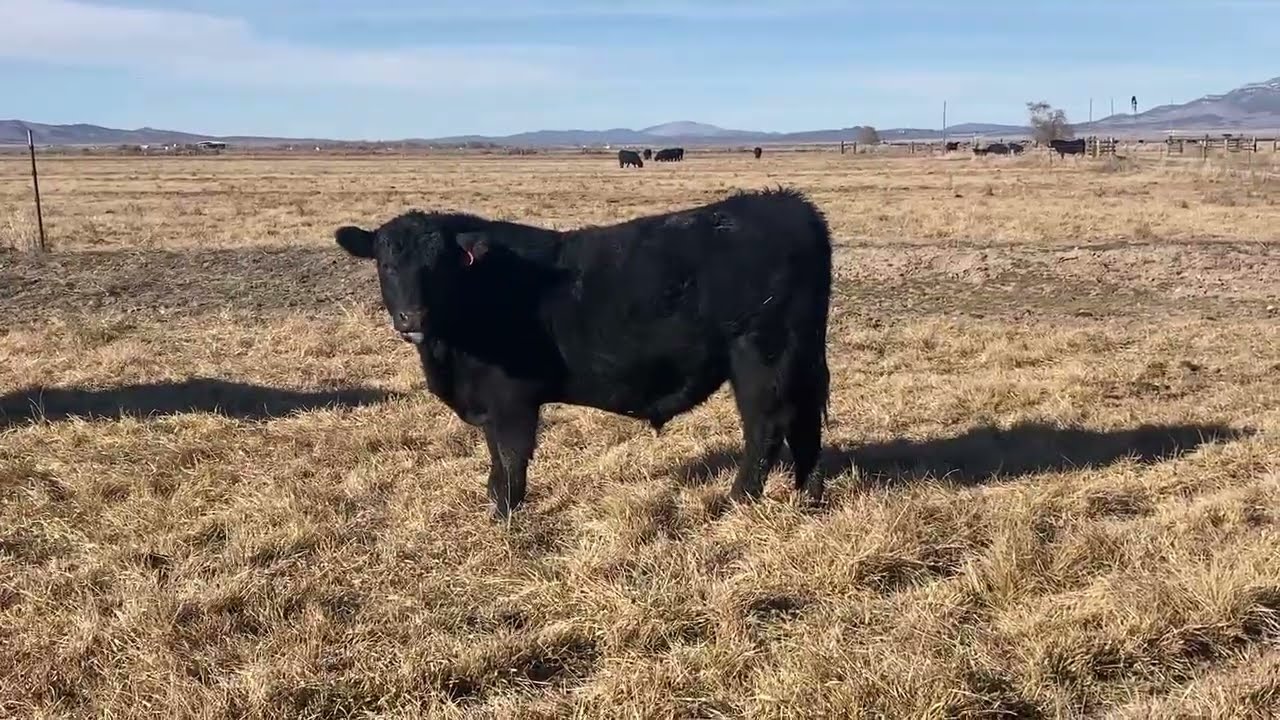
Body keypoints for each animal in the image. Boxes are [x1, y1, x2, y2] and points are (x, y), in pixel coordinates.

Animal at [333, 187, 833, 519]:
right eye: (385, 264)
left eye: (437, 266)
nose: (412, 317)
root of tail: (790, 204)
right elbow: (495, 457)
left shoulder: (511, 400)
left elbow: (511, 458)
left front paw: (505, 515)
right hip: (799, 356)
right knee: (804, 422)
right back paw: (807, 495)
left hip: (762, 356)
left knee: (766, 428)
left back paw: (737, 501)